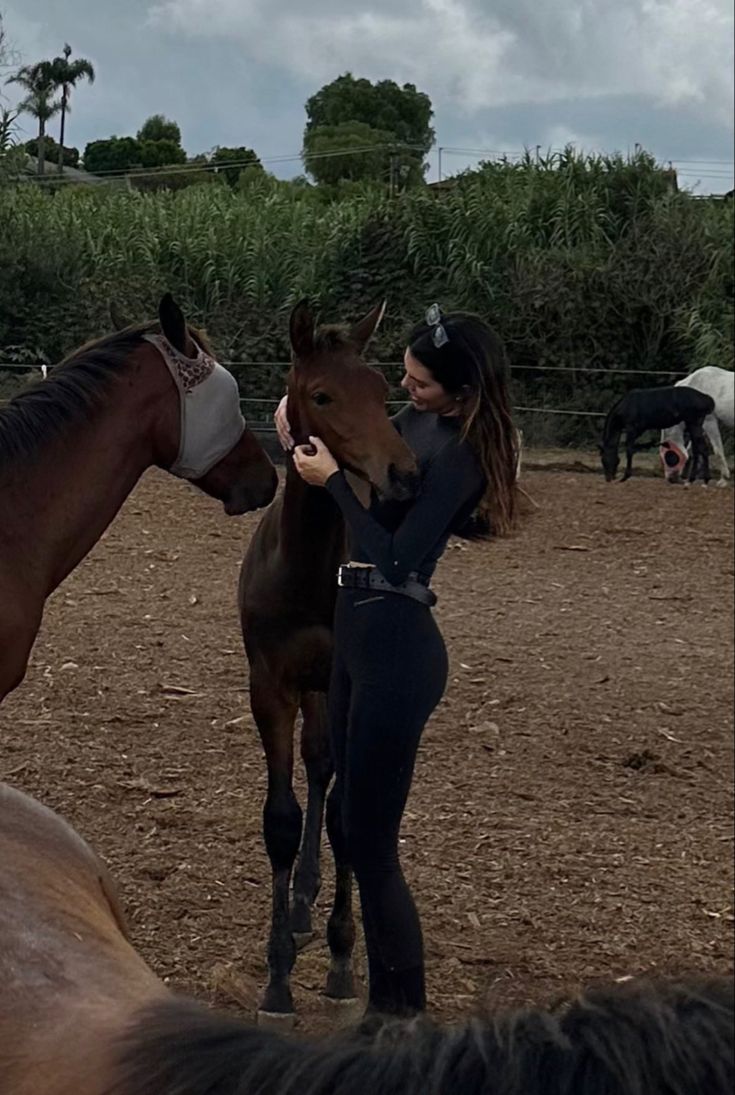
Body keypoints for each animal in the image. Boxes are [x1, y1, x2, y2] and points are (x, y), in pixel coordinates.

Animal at [237, 302, 420, 1024]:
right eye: (321, 395)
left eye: (382, 387)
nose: (403, 475)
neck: (307, 571)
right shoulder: (270, 686)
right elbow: (282, 819)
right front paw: (277, 976)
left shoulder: (346, 685)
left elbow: (344, 812)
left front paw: (343, 958)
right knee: (314, 767)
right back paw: (298, 904)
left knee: (325, 770)